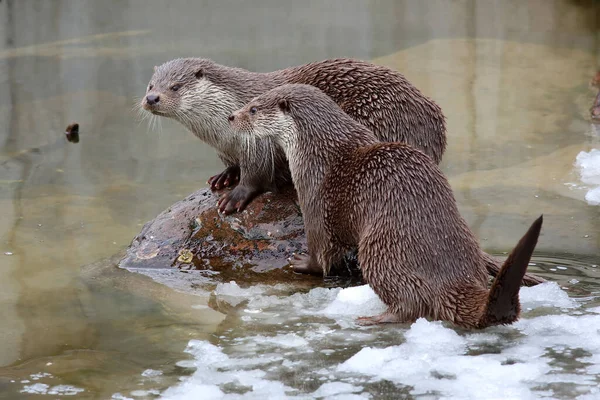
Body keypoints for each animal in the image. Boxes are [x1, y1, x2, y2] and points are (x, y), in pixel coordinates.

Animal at [142, 56, 446, 216]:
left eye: (175, 86)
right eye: (151, 84)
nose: (152, 98)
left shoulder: (257, 140)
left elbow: (256, 174)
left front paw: (235, 196)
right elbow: (233, 165)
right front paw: (225, 176)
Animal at [229, 84, 544, 328]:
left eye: (254, 108)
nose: (232, 116)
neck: (318, 149)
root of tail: (452, 279)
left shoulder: (314, 195)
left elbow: (322, 247)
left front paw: (303, 263)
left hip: (381, 246)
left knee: (410, 304)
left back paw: (376, 318)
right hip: (465, 237)